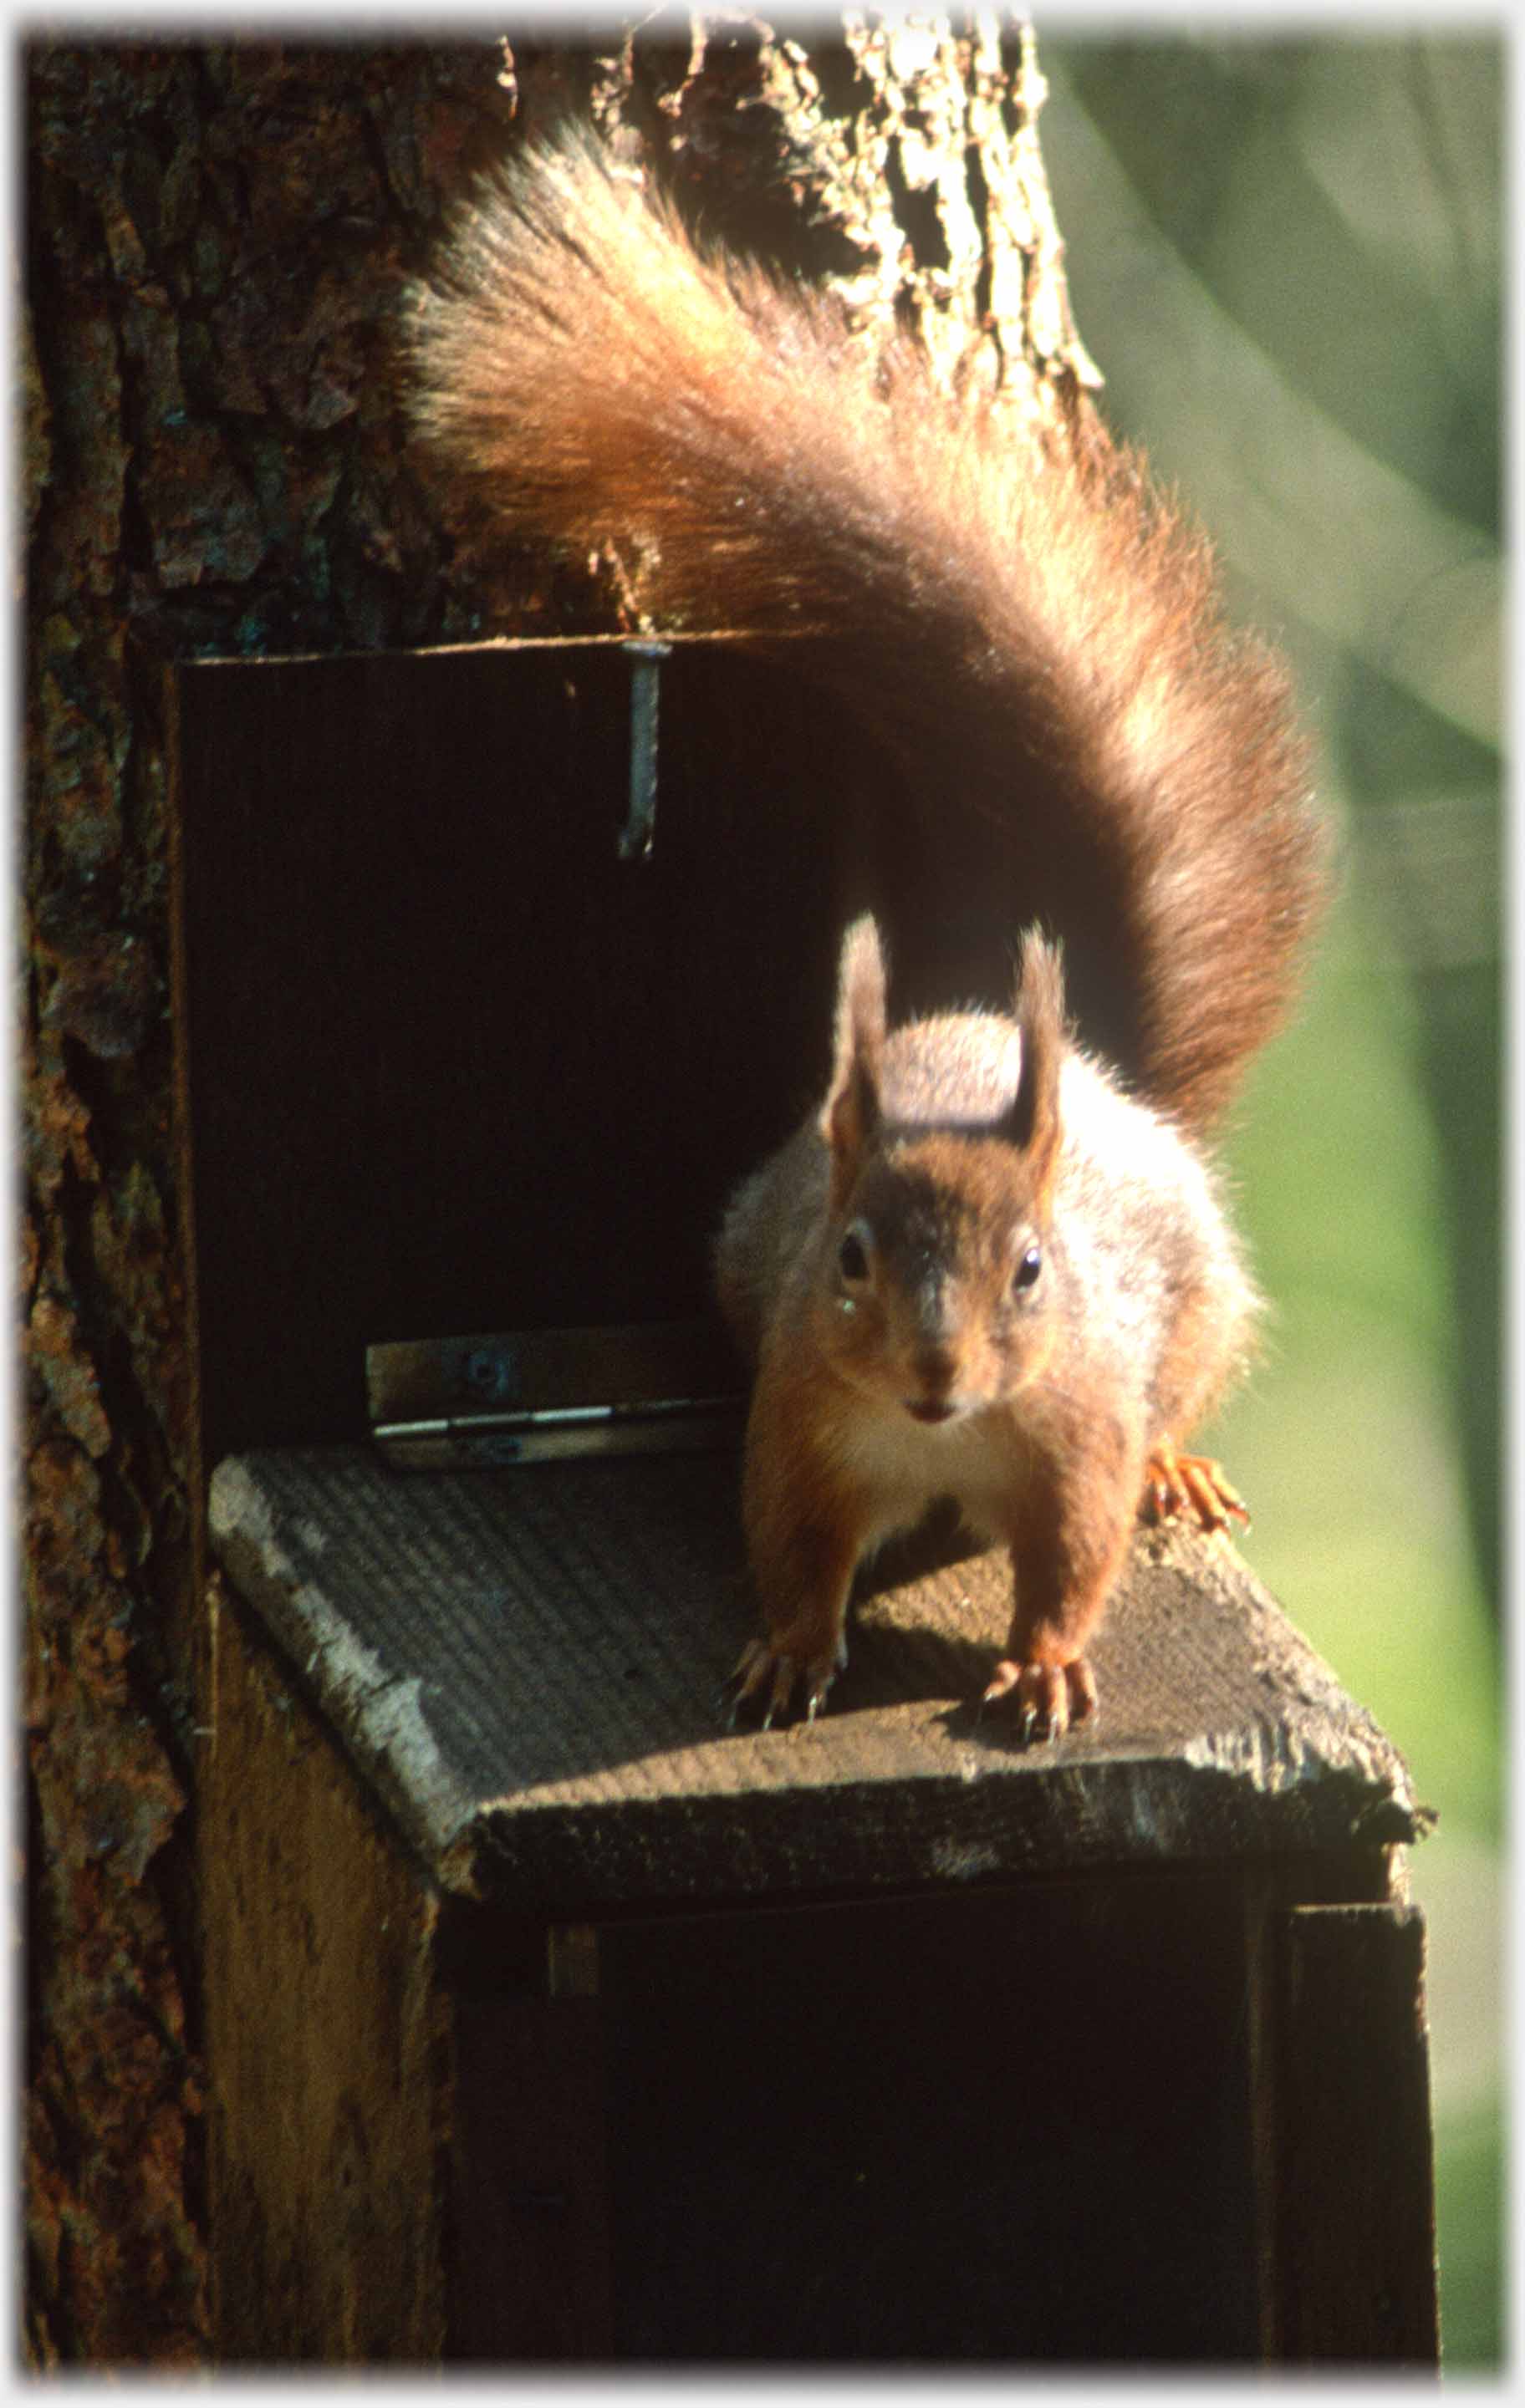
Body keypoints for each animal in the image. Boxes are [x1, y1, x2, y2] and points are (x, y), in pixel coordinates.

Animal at [406, 125, 1329, 1737]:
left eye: (1032, 1270)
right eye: (846, 1256)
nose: (935, 1371)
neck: (945, 1441)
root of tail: (1084, 1069)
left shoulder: (1071, 1431)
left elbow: (1073, 1554)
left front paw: (1044, 1663)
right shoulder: (798, 1430)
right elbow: (789, 1549)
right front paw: (786, 1651)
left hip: (1201, 1302)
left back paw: (1181, 1461)